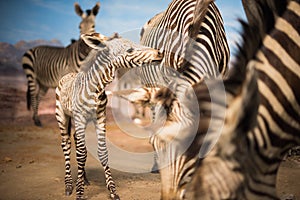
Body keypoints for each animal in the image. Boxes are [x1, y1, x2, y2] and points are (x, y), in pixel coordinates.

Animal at [54, 32, 162, 200]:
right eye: (129, 50)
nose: (159, 53)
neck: (96, 87)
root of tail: (69, 74)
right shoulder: (80, 117)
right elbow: (81, 154)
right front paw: (79, 193)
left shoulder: (100, 116)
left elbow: (102, 152)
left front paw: (112, 190)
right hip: (62, 115)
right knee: (66, 144)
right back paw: (69, 185)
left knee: (77, 140)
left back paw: (84, 179)